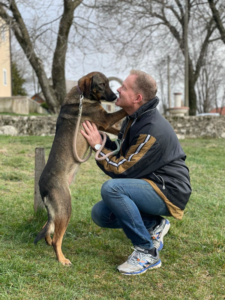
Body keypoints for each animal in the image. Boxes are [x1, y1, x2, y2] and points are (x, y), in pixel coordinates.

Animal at [34, 71, 127, 264]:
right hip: (66, 208)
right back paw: (62, 259)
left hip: (58, 211)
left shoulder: (103, 124)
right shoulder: (105, 119)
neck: (83, 98)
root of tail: (42, 187)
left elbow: (117, 130)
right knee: (57, 239)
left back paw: (48, 241)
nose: (115, 97)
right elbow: (121, 112)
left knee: (48, 227)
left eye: (109, 83)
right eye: (101, 84)